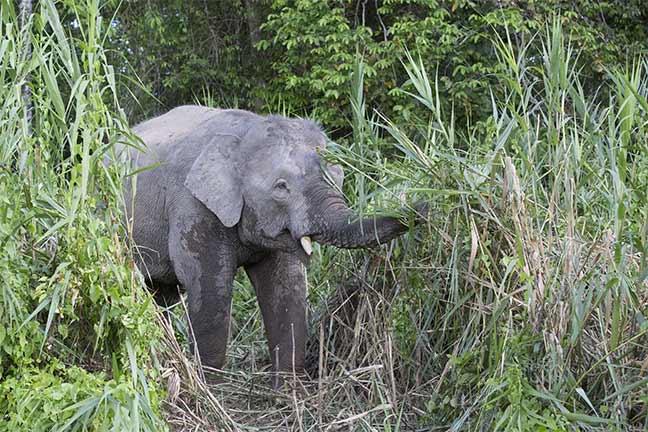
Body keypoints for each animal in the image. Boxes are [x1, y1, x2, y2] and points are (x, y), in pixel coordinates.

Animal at [123, 106, 422, 386]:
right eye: (281, 187)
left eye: (339, 175)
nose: (422, 205)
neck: (245, 132)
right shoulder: (192, 205)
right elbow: (209, 287)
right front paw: (211, 390)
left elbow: (285, 288)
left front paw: (288, 392)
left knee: (161, 296)